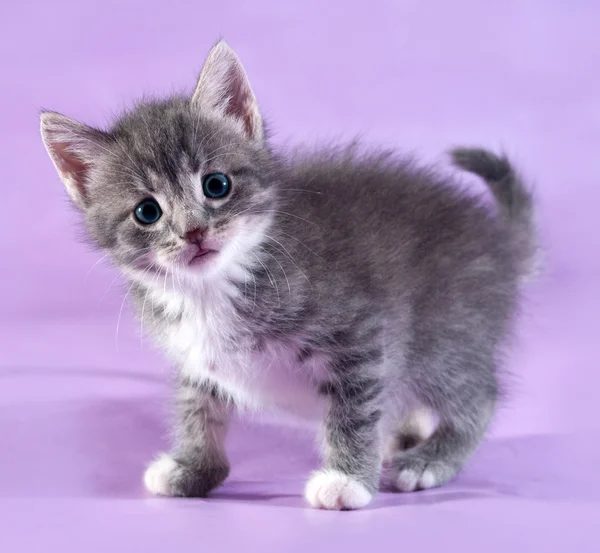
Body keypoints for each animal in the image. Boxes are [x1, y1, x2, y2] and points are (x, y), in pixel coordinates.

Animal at [39, 41, 536, 512]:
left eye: (216, 185)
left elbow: (355, 410)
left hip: (445, 334)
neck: (211, 290)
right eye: (147, 211)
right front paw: (193, 468)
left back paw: (429, 458)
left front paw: (348, 481)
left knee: (479, 395)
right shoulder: (197, 359)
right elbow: (197, 411)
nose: (194, 232)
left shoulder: (361, 333)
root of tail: (500, 241)